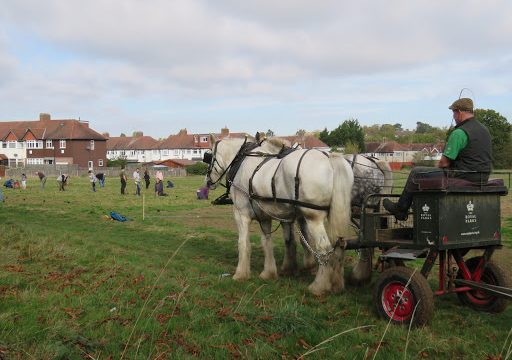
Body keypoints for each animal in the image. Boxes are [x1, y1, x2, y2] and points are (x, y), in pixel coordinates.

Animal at [206, 137, 354, 296]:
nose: (207, 181)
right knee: (339, 247)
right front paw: (269, 272)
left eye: (209, 157)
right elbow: (267, 242)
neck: (241, 162)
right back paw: (337, 284)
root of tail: (329, 158)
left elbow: (243, 243)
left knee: (324, 249)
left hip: (313, 218)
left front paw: (240, 274)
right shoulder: (265, 217)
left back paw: (318, 286)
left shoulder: (241, 214)